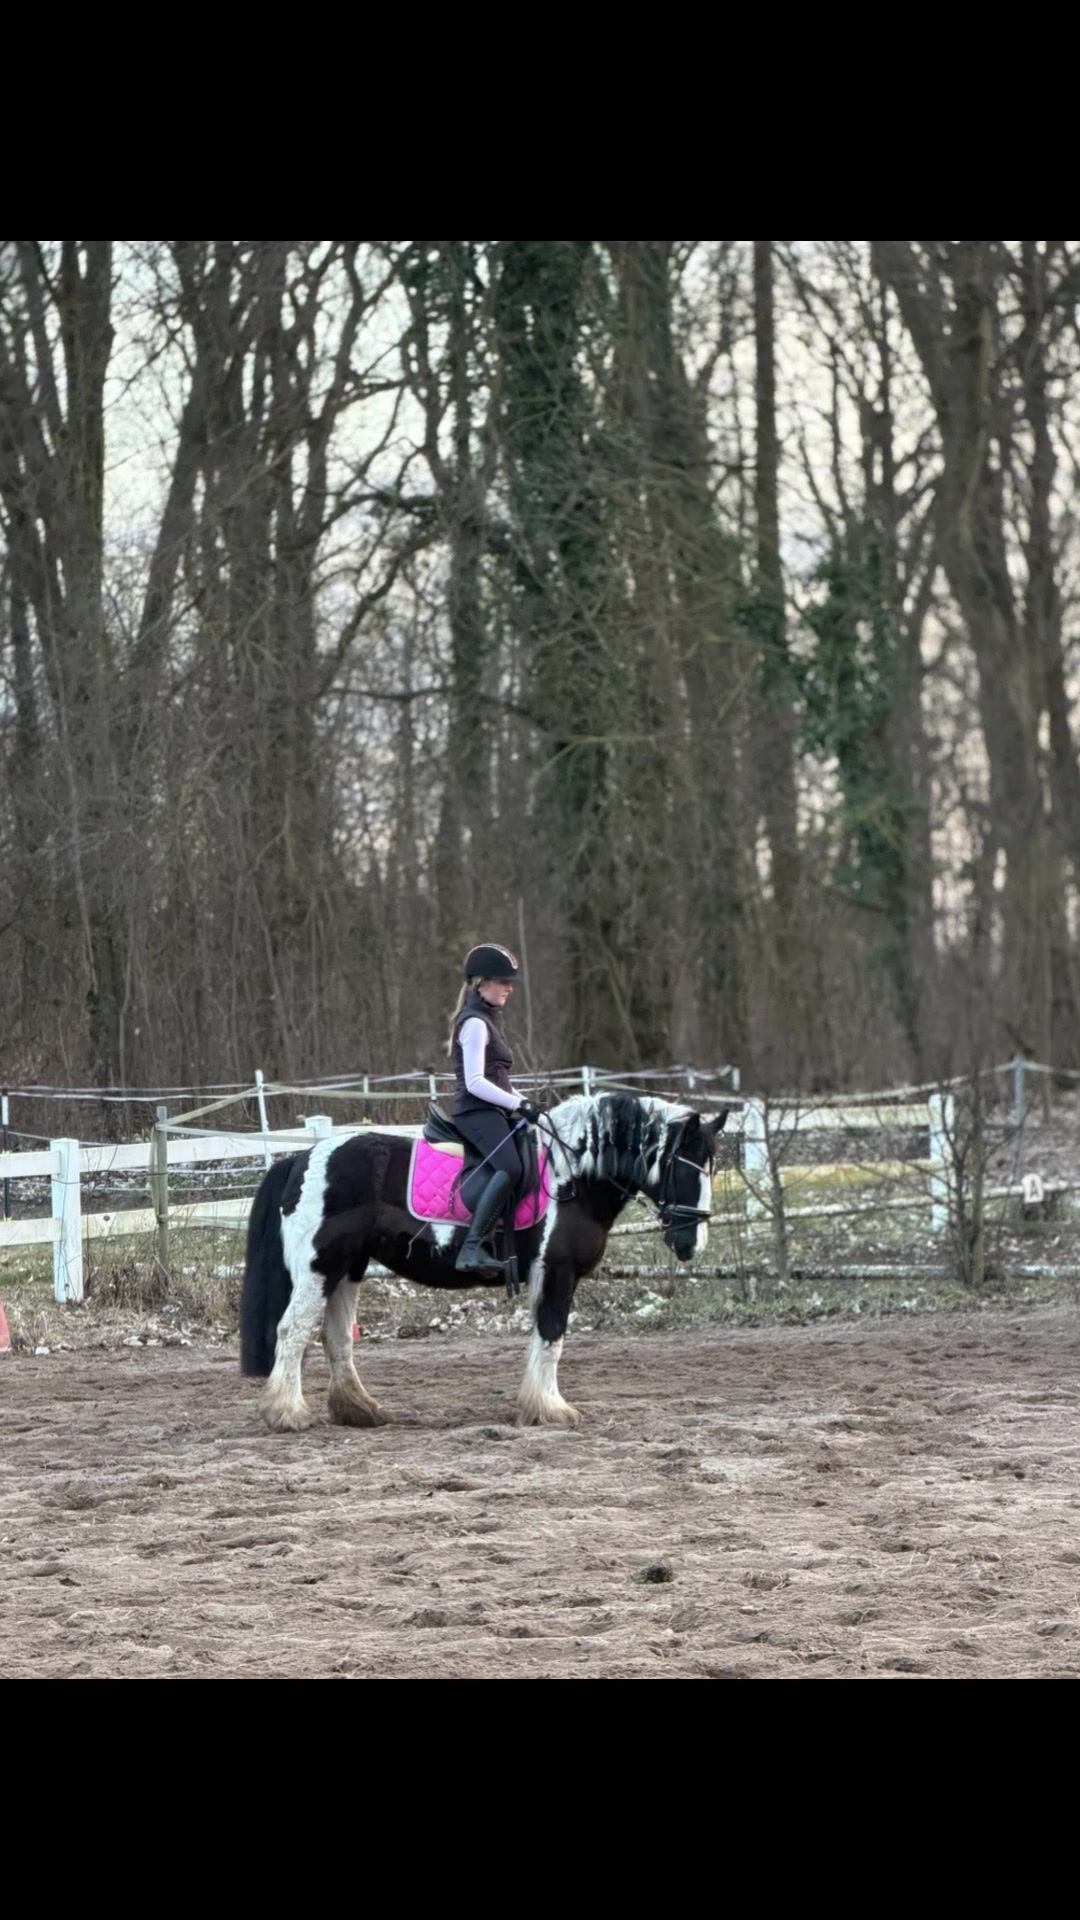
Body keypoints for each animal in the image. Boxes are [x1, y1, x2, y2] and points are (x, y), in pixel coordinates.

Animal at [239, 1091, 729, 1433]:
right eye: (685, 1165)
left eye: (712, 1166)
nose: (692, 1244)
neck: (572, 1176)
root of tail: (302, 1158)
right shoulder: (559, 1272)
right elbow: (553, 1338)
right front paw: (551, 1409)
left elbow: (543, 1339)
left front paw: (538, 1406)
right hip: (320, 1268)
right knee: (294, 1330)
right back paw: (287, 1413)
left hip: (349, 1269)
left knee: (336, 1337)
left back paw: (360, 1409)